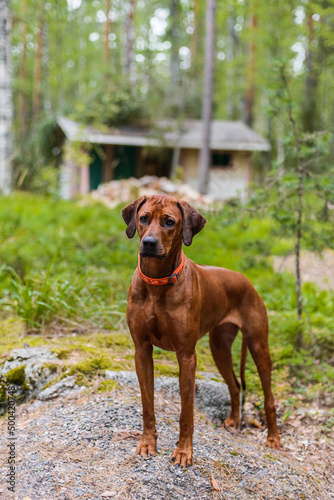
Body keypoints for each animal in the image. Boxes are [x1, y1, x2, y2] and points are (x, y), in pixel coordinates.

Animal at [122, 194, 280, 464]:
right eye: (143, 218)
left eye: (169, 222)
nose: (149, 243)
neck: (157, 284)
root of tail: (247, 281)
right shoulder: (141, 350)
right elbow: (147, 404)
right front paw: (147, 443)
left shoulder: (186, 356)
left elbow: (187, 411)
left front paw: (184, 451)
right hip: (219, 347)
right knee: (234, 385)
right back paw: (234, 421)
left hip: (258, 346)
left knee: (268, 398)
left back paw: (273, 438)